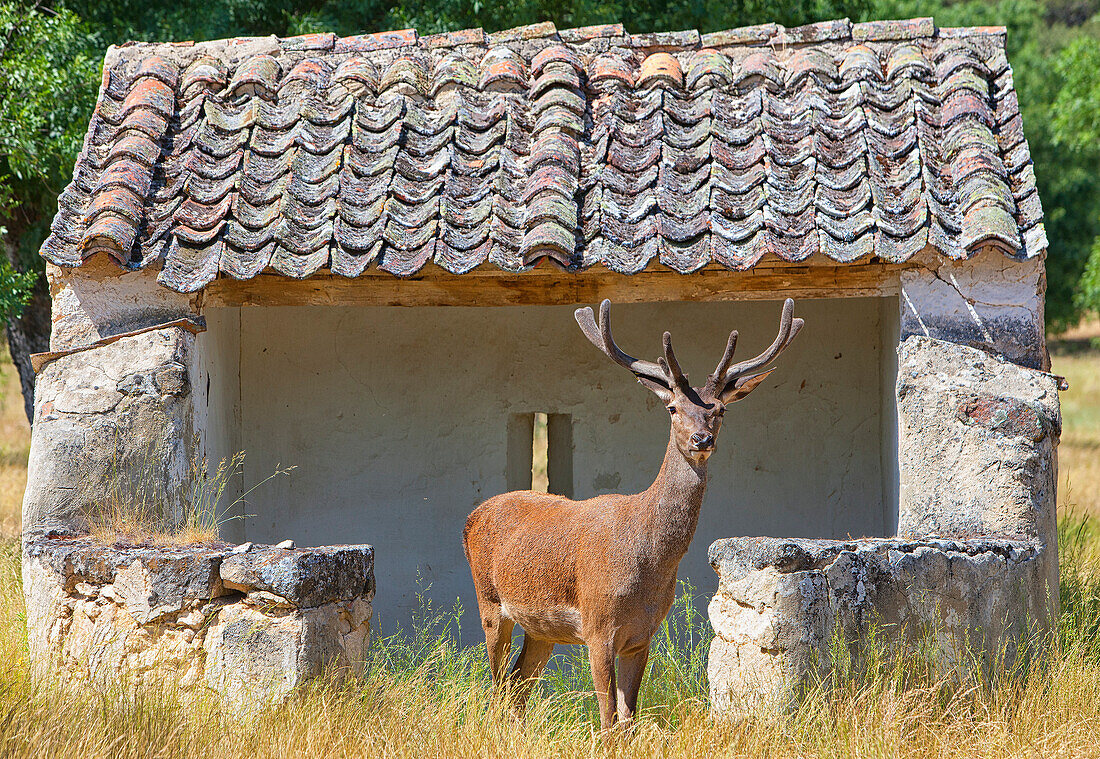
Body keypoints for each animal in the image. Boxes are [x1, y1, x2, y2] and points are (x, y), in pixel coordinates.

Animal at [459, 294, 805, 726]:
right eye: (672, 408)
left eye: (721, 411)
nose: (701, 439)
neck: (646, 563)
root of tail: (472, 517)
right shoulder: (597, 627)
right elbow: (608, 720)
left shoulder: (642, 636)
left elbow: (629, 719)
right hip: (490, 603)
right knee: (498, 685)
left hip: (541, 629)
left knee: (518, 685)